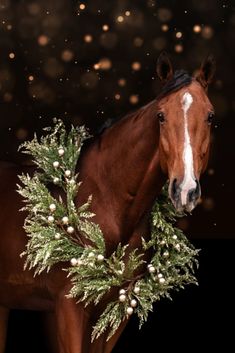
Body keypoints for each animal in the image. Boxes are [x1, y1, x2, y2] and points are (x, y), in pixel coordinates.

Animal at [0, 53, 215, 352]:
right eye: (161, 116)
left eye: (210, 116)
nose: (185, 190)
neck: (104, 201)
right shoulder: (69, 308)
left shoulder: (115, 310)